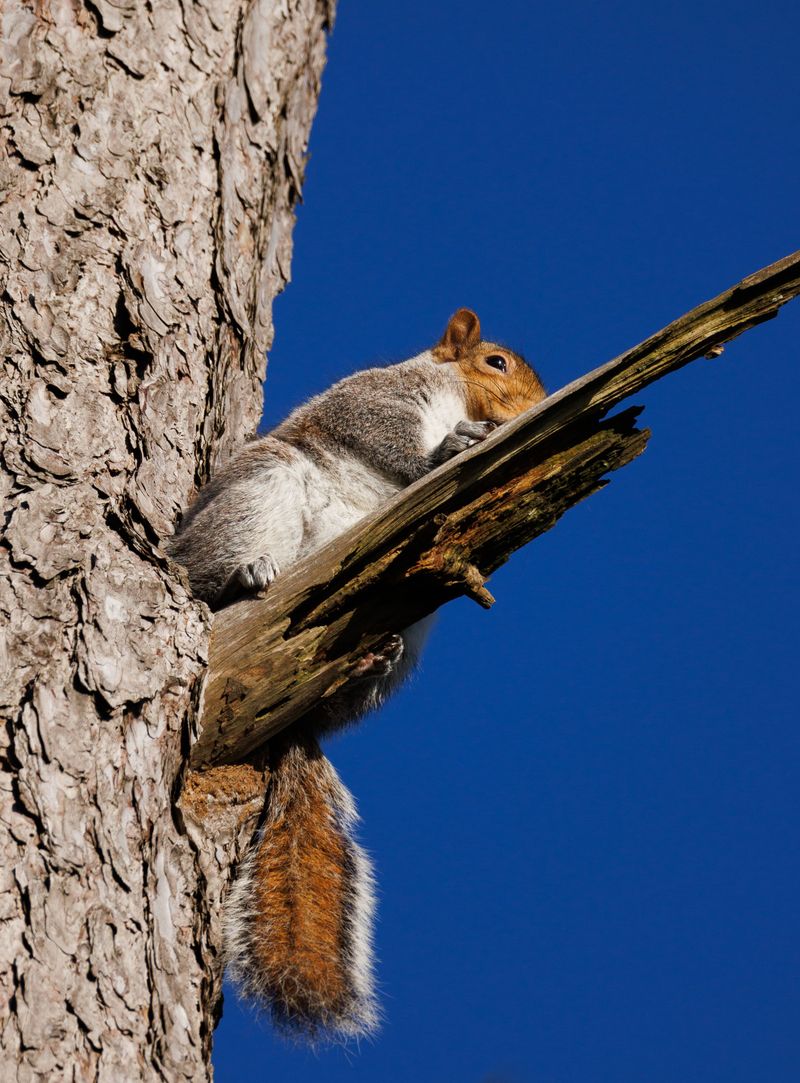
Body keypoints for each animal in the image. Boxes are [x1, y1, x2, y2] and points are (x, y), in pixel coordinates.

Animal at [168, 308, 546, 1042]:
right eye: (495, 362)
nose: (535, 410)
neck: (451, 394)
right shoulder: (375, 400)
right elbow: (380, 435)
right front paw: (450, 447)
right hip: (261, 491)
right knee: (210, 573)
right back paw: (239, 577)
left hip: (414, 611)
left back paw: (374, 657)